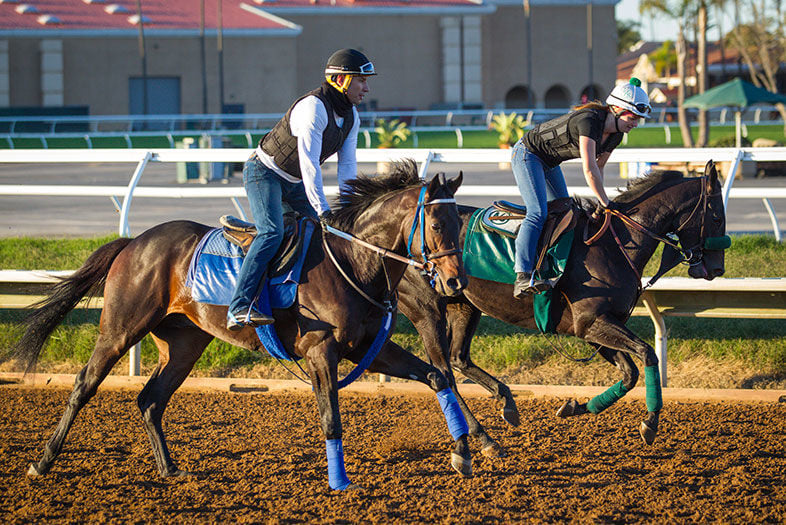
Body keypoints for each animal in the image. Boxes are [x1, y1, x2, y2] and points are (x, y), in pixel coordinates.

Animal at [16, 162, 472, 490]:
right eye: (436, 225)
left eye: (460, 224)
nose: (455, 283)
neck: (351, 261)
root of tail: (134, 242)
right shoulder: (320, 351)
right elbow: (331, 418)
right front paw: (340, 483)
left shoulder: (365, 348)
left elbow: (436, 376)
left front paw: (463, 453)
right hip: (119, 330)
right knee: (84, 385)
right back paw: (42, 461)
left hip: (183, 345)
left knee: (150, 400)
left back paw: (169, 469)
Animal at [398, 160, 728, 454]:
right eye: (716, 218)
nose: (716, 269)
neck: (614, 245)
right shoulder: (591, 323)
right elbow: (647, 354)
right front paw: (650, 423)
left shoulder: (596, 328)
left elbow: (629, 373)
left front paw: (576, 406)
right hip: (426, 310)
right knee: (443, 371)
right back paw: (484, 437)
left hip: (464, 305)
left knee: (458, 358)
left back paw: (506, 402)